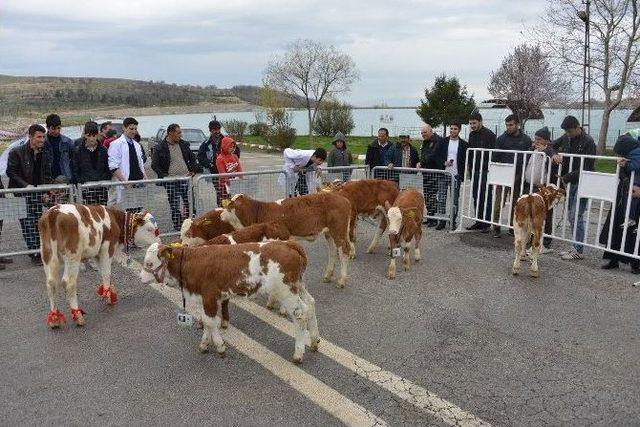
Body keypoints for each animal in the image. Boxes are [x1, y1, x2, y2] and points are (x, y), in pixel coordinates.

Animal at [141, 241, 320, 364]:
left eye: (149, 263)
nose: (141, 278)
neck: (190, 263)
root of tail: (287, 243)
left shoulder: (209, 296)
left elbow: (210, 322)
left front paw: (220, 347)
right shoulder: (204, 298)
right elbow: (206, 321)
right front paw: (204, 344)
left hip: (286, 291)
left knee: (300, 315)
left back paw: (298, 354)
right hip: (299, 285)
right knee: (311, 304)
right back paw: (314, 341)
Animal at [219, 194, 350, 288]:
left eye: (228, 207)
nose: (220, 215)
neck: (259, 212)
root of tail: (343, 198)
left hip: (339, 231)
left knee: (344, 252)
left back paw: (342, 280)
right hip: (329, 233)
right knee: (333, 251)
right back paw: (328, 275)